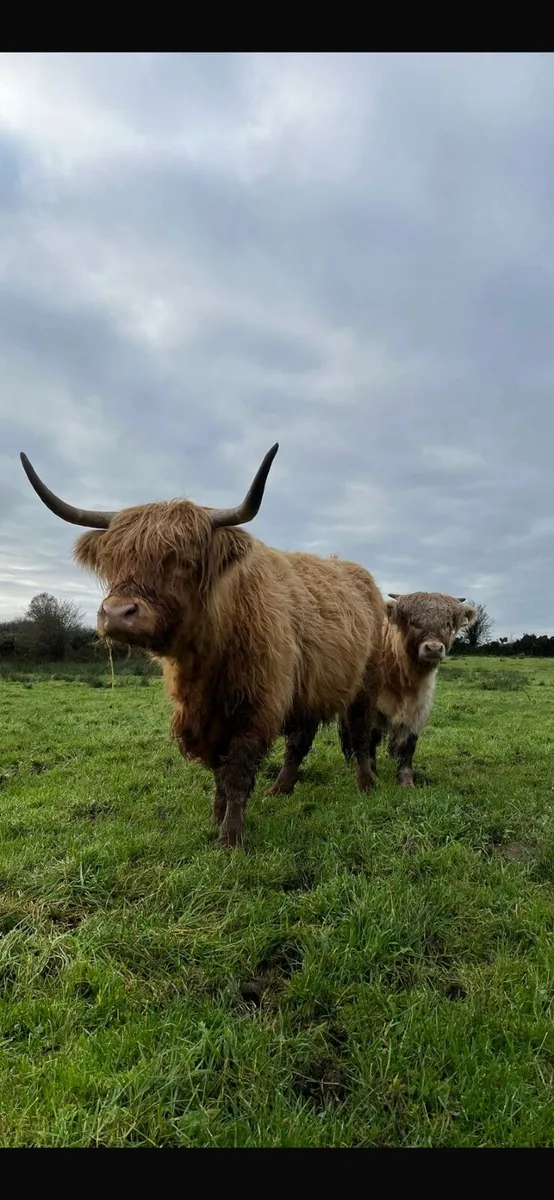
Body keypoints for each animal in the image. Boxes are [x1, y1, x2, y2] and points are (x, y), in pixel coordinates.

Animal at [20, 446, 386, 848]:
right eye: (113, 559)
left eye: (180, 560)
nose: (117, 613)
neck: (205, 660)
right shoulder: (206, 716)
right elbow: (217, 771)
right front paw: (215, 816)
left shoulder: (256, 707)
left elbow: (236, 771)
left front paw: (231, 837)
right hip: (308, 687)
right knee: (299, 741)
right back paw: (280, 789)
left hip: (365, 683)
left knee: (360, 734)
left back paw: (366, 784)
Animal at [340, 591, 477, 788]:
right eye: (413, 622)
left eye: (448, 624)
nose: (433, 648)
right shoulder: (372, 706)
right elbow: (371, 738)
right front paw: (371, 772)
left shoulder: (417, 709)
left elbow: (408, 744)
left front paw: (405, 780)